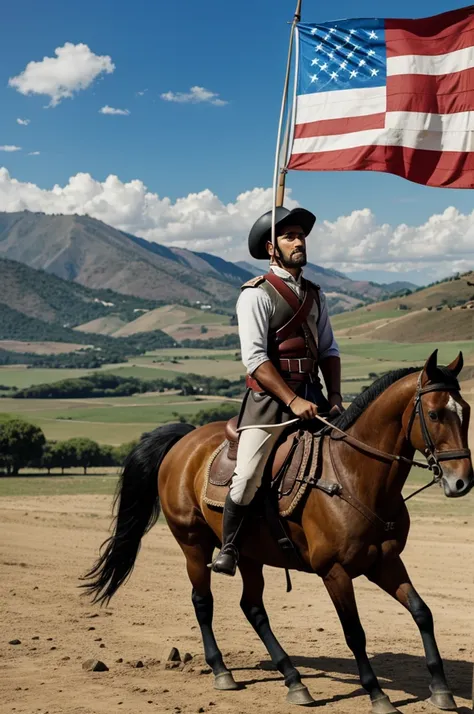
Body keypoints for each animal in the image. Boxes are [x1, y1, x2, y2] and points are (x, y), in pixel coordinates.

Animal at [83, 350, 472, 712]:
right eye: (434, 414)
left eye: (466, 411)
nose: (461, 482)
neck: (354, 475)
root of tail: (185, 439)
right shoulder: (335, 572)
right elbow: (354, 633)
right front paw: (377, 694)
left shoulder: (385, 562)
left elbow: (422, 612)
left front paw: (441, 690)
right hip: (193, 544)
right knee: (203, 601)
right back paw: (222, 671)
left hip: (249, 554)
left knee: (253, 607)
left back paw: (294, 680)